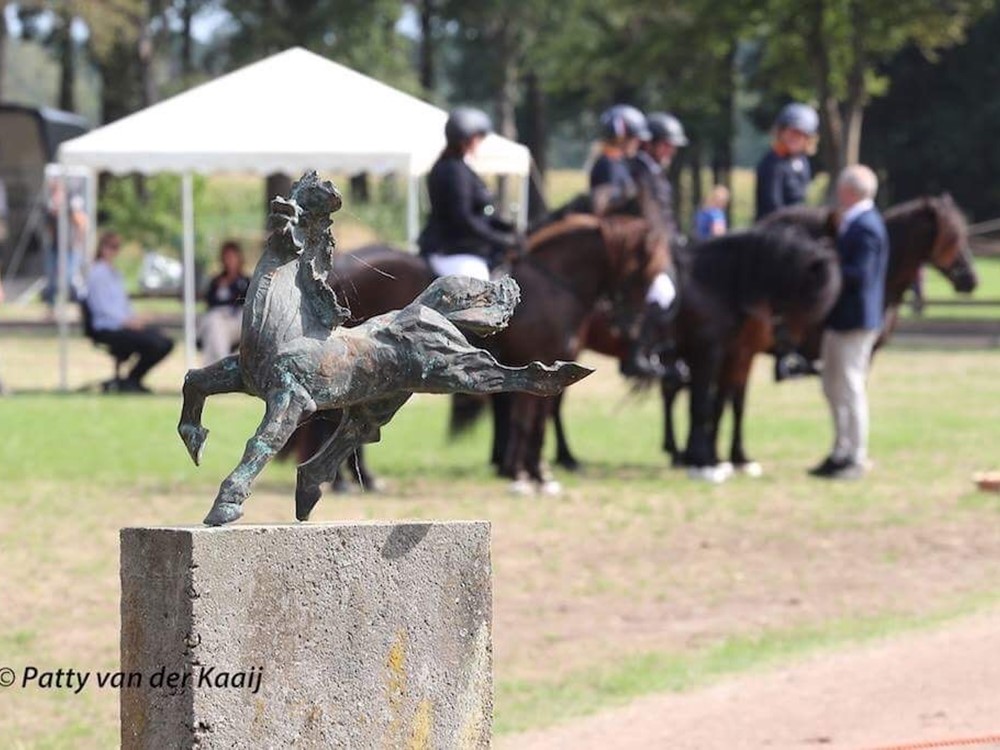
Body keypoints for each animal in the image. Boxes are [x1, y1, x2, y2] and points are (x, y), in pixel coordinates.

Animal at [288, 212, 664, 494]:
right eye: (643, 272)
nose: (635, 328)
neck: (552, 284)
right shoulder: (535, 363)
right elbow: (527, 421)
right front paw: (525, 477)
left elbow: (537, 421)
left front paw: (538, 474)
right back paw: (344, 481)